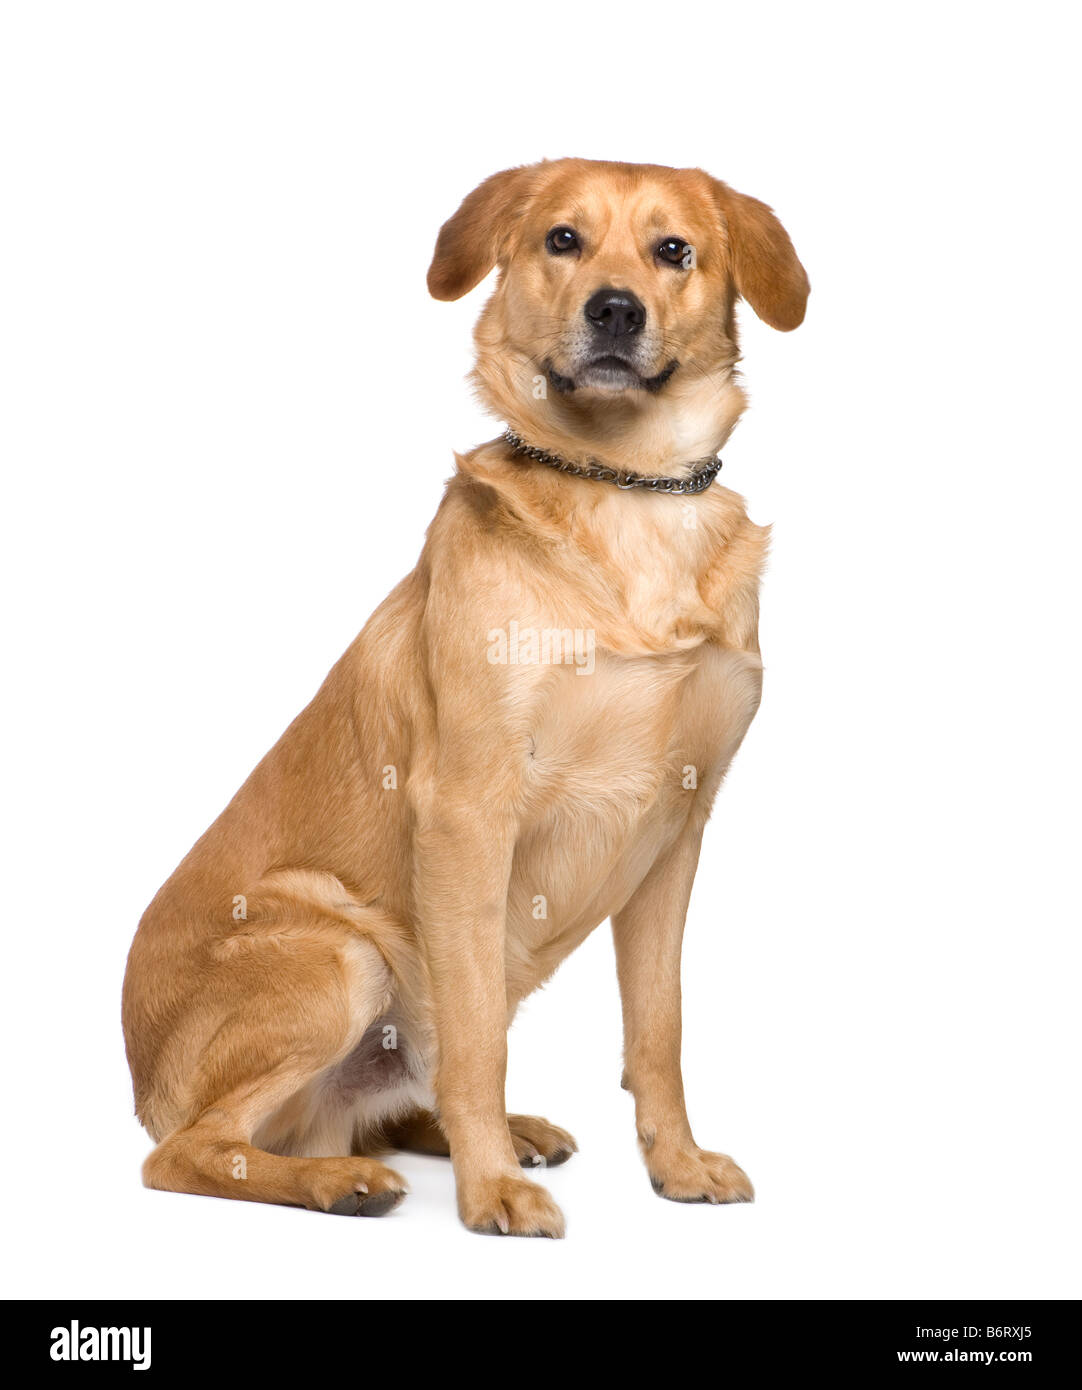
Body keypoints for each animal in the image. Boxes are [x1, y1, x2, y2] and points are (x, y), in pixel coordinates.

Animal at [122, 157, 806, 1234]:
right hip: (339, 949)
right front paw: (490, 1194)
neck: (627, 489)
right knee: (193, 1151)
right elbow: (479, 1036)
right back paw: (338, 1180)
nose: (615, 310)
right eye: (562, 240)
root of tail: (138, 1079)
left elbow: (657, 1029)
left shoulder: (676, 831)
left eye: (674, 250)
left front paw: (676, 1164)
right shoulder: (467, 812)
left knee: (384, 1106)